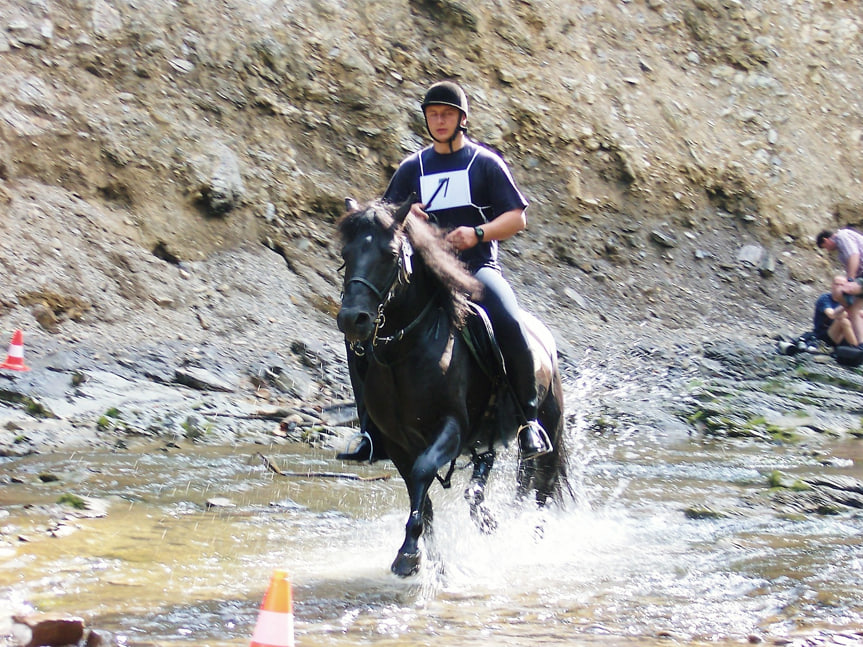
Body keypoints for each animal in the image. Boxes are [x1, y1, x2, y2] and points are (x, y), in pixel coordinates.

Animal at [336, 197, 568, 576]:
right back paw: (485, 515)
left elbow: (423, 472)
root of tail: (544, 338)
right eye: (346, 252)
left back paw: (531, 544)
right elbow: (421, 495)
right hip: (487, 435)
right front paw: (431, 560)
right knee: (485, 477)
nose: (352, 319)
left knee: (541, 491)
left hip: (547, 430)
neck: (406, 351)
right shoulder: (397, 443)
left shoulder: (451, 428)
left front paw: (408, 554)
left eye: (389, 253)